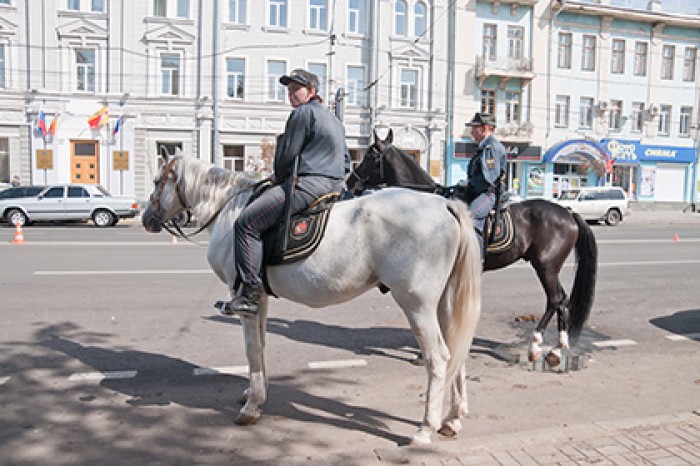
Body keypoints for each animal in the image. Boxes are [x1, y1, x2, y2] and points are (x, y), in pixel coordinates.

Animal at [142, 154, 482, 444]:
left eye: (158, 180)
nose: (146, 218)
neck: (231, 209)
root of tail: (445, 204)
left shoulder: (243, 297)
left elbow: (251, 348)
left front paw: (251, 407)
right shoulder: (260, 298)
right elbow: (260, 346)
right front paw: (254, 392)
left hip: (417, 305)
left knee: (438, 358)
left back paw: (425, 428)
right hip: (443, 305)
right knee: (457, 352)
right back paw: (452, 419)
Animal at [348, 129, 600, 366]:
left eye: (370, 154)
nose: (350, 182)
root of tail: (568, 212)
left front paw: (425, 354)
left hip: (546, 266)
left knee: (555, 299)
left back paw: (537, 345)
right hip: (548, 267)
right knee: (562, 300)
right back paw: (557, 349)